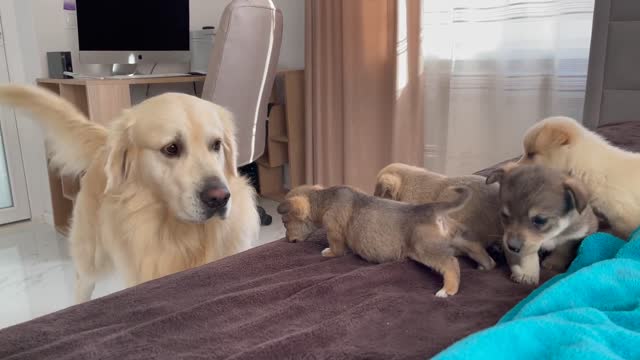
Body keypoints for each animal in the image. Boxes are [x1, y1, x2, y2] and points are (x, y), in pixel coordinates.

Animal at [0, 84, 260, 300]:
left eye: (216, 145)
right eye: (171, 148)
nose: (219, 198)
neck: (182, 235)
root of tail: (106, 143)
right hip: (90, 258)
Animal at [276, 184, 490, 296]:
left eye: (285, 223)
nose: (286, 240)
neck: (323, 199)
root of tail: (433, 209)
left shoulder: (334, 231)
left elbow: (335, 248)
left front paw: (327, 252)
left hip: (425, 248)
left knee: (451, 263)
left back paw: (447, 290)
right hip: (461, 237)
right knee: (478, 250)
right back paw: (486, 266)